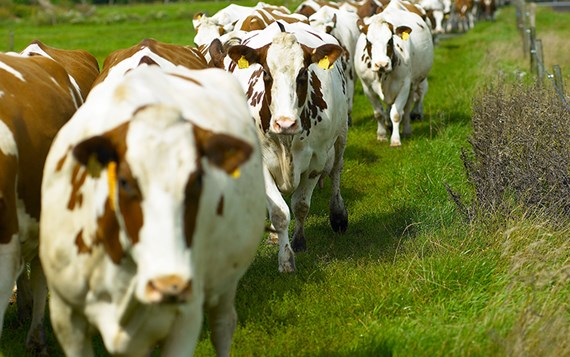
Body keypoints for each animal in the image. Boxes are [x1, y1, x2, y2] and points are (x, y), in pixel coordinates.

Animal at [38, 54, 266, 354]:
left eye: (197, 180)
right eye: (124, 181)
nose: (169, 284)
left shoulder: (185, 320)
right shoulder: (66, 316)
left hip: (225, 284)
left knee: (223, 325)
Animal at [209, 20, 348, 272]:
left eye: (302, 73)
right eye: (265, 72)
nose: (285, 123)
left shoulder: (316, 160)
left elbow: (301, 205)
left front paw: (299, 242)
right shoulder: (259, 162)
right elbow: (279, 212)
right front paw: (285, 258)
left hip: (341, 133)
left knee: (336, 170)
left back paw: (338, 214)